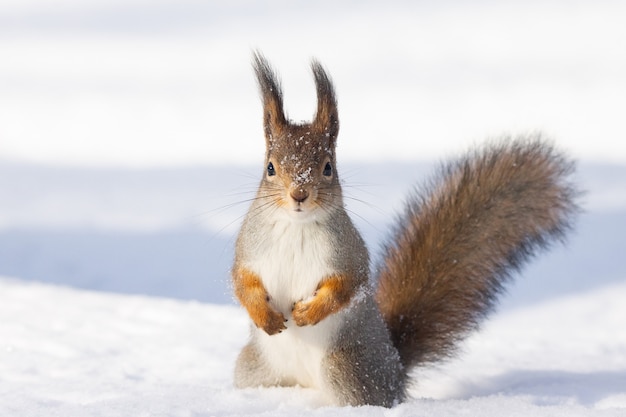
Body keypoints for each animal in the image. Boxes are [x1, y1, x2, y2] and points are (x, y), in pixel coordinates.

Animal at [232, 52, 576, 406]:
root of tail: (394, 368)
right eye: (270, 168)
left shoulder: (349, 255)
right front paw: (264, 316)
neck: (296, 226)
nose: (299, 194)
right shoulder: (248, 250)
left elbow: (345, 286)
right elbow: (242, 281)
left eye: (328, 168)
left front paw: (307, 314)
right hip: (253, 368)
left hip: (344, 370)